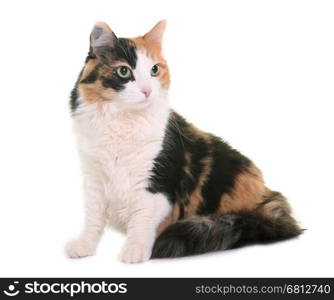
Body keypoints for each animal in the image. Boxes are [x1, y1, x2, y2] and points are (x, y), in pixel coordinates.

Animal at [66, 20, 302, 262]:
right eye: (124, 71)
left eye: (154, 70)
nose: (147, 91)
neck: (121, 121)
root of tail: (268, 197)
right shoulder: (94, 177)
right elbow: (93, 219)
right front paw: (84, 246)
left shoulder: (154, 183)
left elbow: (141, 219)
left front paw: (135, 250)